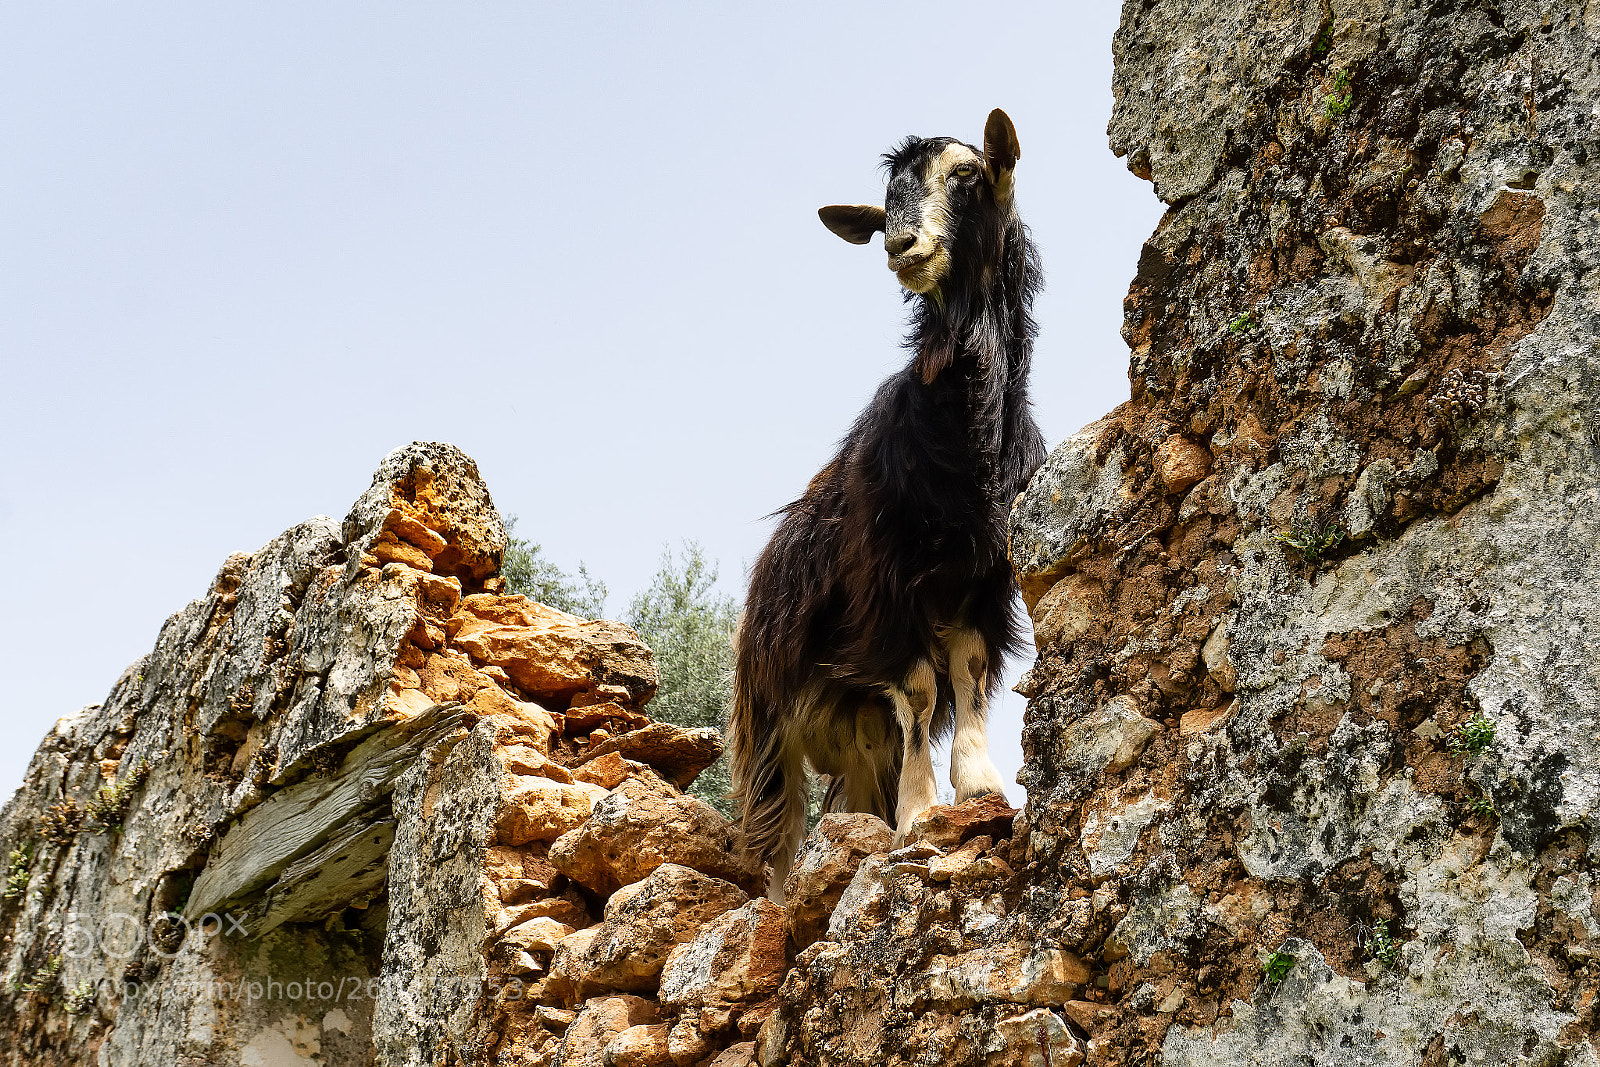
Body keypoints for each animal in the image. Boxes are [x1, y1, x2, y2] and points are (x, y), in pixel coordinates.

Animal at [729, 109, 1045, 899]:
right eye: (883, 207)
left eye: (966, 175)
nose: (903, 246)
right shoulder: (886, 589)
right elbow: (923, 688)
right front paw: (922, 810)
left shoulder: (980, 582)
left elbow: (966, 673)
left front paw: (979, 786)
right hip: (770, 720)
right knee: (776, 823)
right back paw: (775, 895)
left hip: (855, 733)